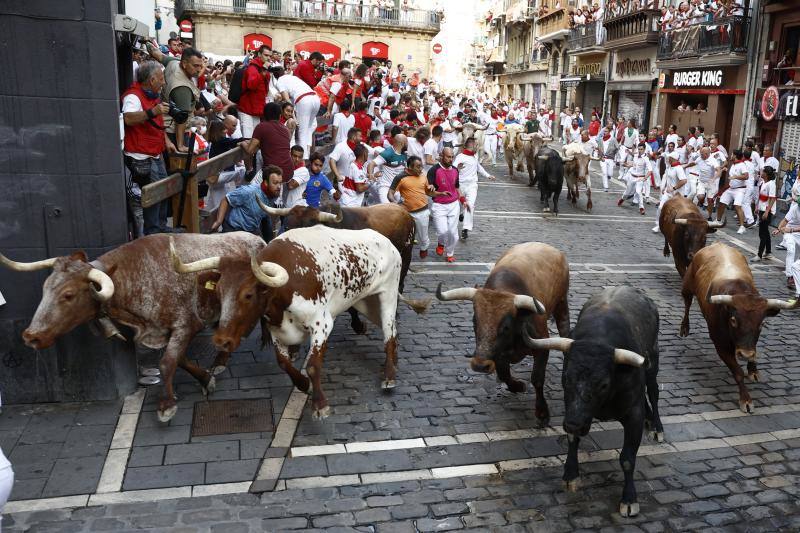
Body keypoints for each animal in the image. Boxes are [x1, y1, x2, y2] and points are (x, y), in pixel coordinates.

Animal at [438, 242, 568, 424]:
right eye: (474, 321)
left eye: (506, 327)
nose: (479, 365)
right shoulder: (498, 354)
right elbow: (504, 373)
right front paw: (517, 386)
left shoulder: (542, 345)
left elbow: (537, 378)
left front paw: (542, 412)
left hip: (562, 304)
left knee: (565, 328)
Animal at [680, 243, 796, 414]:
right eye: (733, 320)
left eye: (762, 324)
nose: (744, 354)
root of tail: (716, 243)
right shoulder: (720, 345)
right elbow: (738, 372)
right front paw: (746, 400)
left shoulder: (751, 343)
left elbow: (754, 353)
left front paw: (753, 370)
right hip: (687, 286)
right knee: (687, 303)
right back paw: (684, 328)